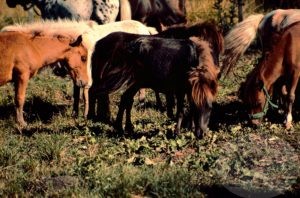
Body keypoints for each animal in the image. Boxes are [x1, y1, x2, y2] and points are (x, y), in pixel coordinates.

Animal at [2, 19, 157, 119]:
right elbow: (77, 93)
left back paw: (141, 104)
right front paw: (75, 114)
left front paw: (87, 115)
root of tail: (146, 29)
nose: (58, 71)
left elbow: (85, 93)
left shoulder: (88, 74)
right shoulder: (77, 74)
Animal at [89, 21, 223, 138]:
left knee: (125, 99)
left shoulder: (187, 90)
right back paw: (94, 119)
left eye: (210, 108)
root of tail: (99, 43)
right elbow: (180, 110)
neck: (192, 59)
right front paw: (177, 132)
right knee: (96, 92)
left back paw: (123, 127)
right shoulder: (179, 90)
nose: (201, 134)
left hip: (135, 83)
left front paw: (189, 128)